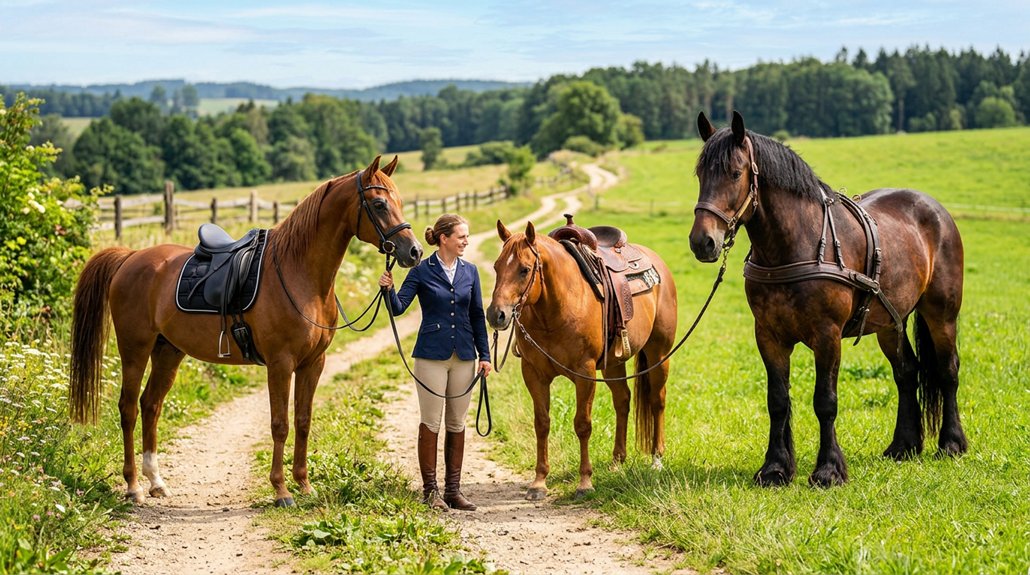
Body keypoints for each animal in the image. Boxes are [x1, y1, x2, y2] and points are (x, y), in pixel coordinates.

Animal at [69, 155, 423, 507]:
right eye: (379, 204)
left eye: (399, 202)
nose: (414, 252)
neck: (299, 272)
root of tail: (130, 258)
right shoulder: (280, 364)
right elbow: (280, 424)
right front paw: (281, 490)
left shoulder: (313, 363)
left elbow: (303, 421)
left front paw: (304, 484)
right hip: (135, 349)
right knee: (128, 408)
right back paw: (133, 486)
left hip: (168, 351)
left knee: (150, 405)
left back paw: (156, 481)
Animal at [486, 219, 678, 500]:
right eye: (496, 266)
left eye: (524, 270)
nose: (496, 314)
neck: (555, 309)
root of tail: (657, 263)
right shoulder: (533, 374)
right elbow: (541, 423)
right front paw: (539, 481)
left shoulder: (584, 373)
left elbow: (583, 424)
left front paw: (585, 482)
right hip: (614, 364)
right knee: (623, 400)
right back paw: (617, 461)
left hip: (659, 354)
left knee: (657, 401)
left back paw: (656, 460)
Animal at [689, 111, 967, 487]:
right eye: (700, 174)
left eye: (735, 173)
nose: (702, 241)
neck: (796, 245)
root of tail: (935, 209)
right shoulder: (768, 336)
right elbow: (777, 400)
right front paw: (775, 468)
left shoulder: (827, 336)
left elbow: (825, 401)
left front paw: (829, 470)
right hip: (889, 324)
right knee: (907, 372)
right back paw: (903, 446)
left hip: (942, 314)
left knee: (948, 369)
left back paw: (951, 443)